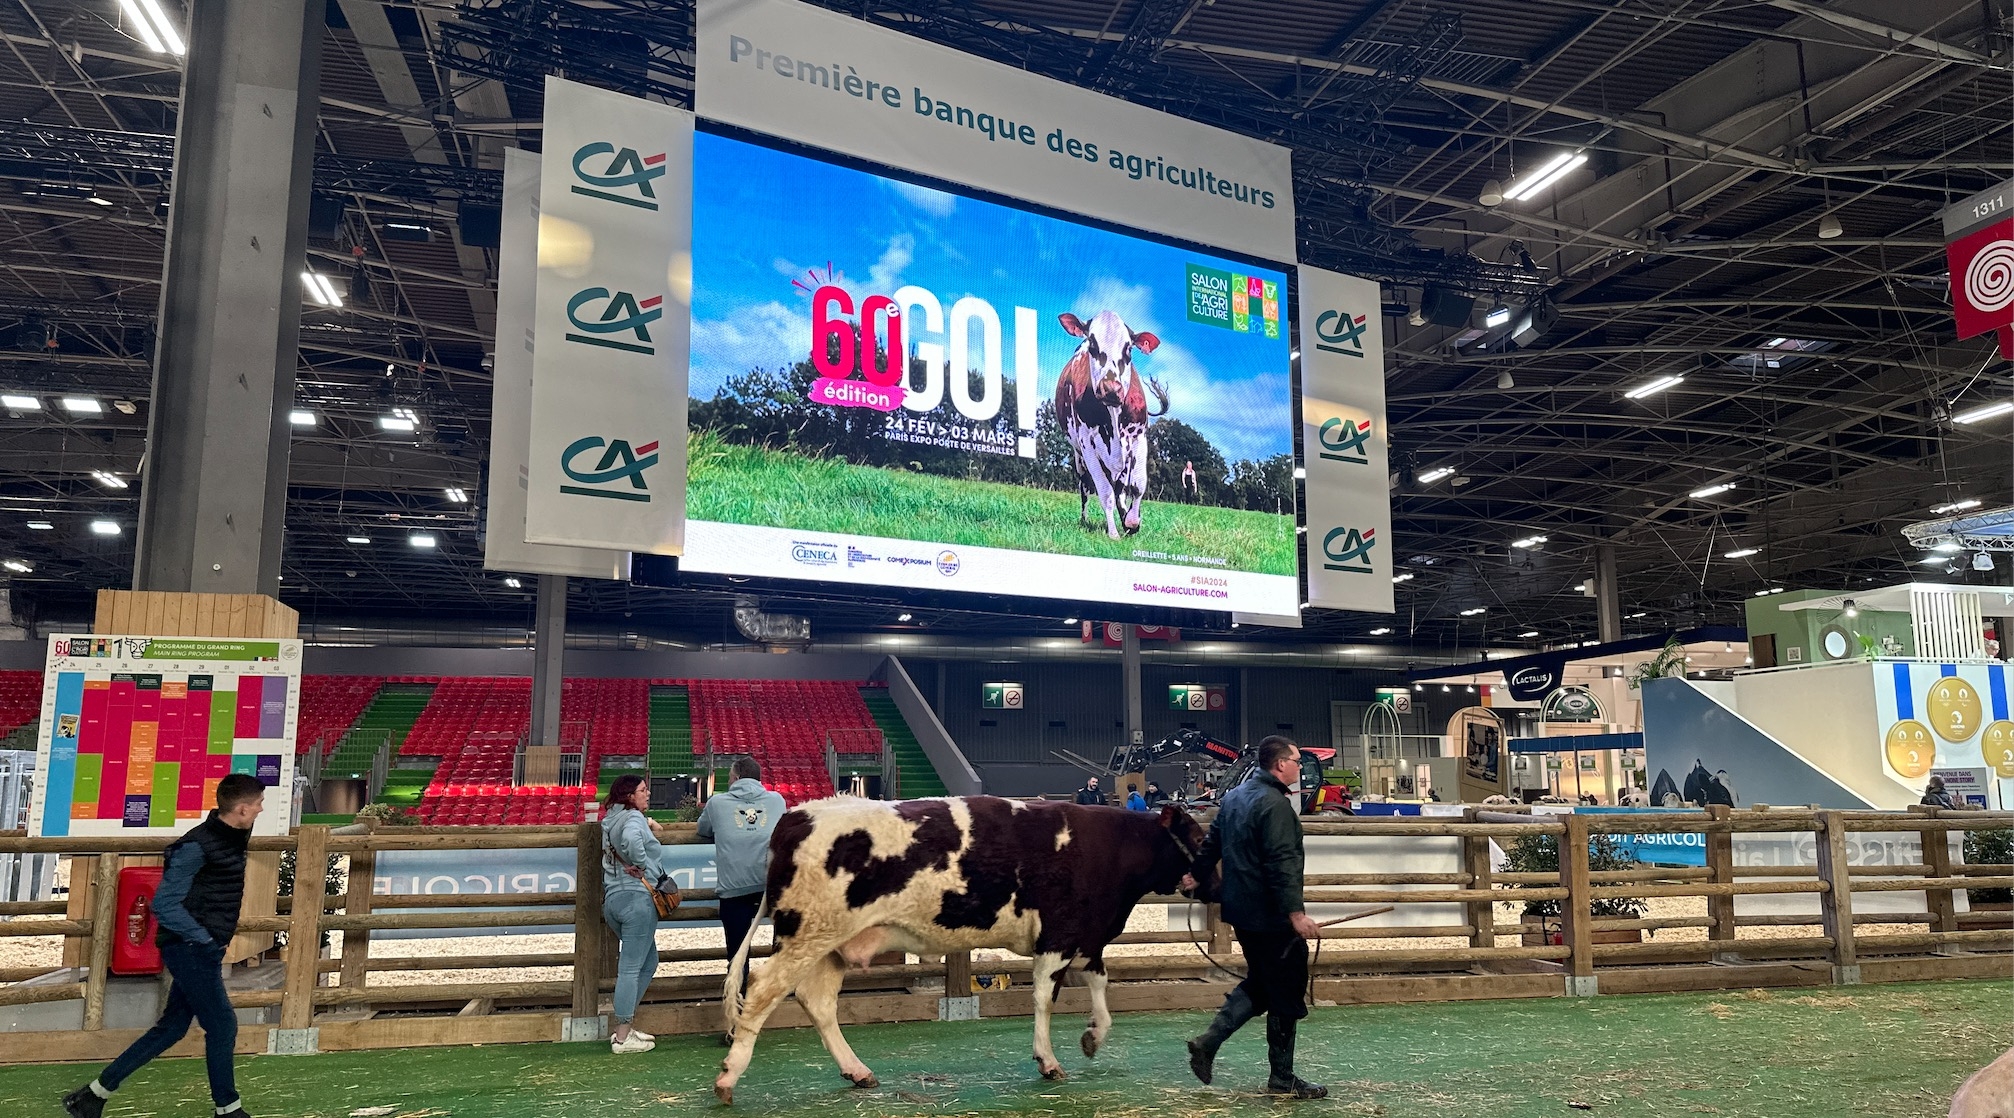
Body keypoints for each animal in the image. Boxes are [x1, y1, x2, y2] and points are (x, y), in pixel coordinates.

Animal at [716, 797, 1200, 1103]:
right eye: (1197, 836)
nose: (1211, 877)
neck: (1111, 846)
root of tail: (800, 814)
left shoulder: (1086, 938)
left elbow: (1101, 987)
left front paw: (1093, 1036)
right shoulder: (1059, 936)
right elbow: (1045, 999)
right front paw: (1048, 1060)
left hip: (829, 946)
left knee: (817, 1001)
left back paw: (858, 1071)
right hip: (806, 934)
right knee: (761, 988)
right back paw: (729, 1077)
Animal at [1055, 310, 1168, 543]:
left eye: (1129, 348)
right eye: (1092, 344)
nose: (1111, 388)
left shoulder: (1139, 437)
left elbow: (1137, 485)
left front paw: (1132, 521)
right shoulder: (1087, 444)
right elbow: (1104, 491)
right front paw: (1114, 532)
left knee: (1121, 487)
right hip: (1079, 455)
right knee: (1085, 486)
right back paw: (1085, 519)